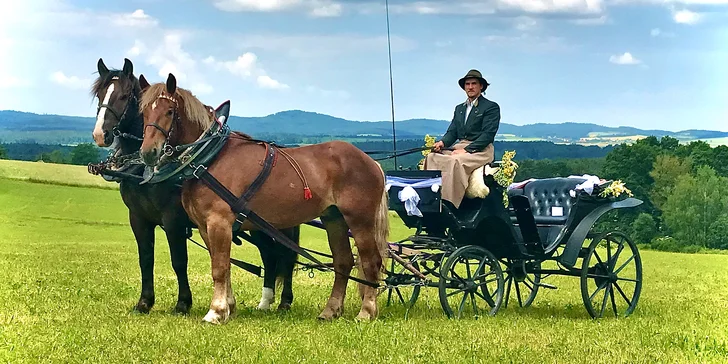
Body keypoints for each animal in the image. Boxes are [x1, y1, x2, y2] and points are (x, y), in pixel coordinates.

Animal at [91, 58, 302, 314]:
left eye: (123, 96)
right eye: (99, 94)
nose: (100, 134)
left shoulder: (173, 219)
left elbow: (179, 260)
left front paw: (183, 303)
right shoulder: (138, 218)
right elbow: (146, 259)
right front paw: (144, 302)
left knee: (287, 255)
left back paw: (284, 301)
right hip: (256, 224)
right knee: (269, 255)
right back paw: (265, 302)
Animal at [140, 72, 392, 322]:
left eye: (169, 111)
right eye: (143, 112)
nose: (148, 152)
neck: (209, 159)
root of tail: (371, 162)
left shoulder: (219, 222)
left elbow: (219, 268)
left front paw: (216, 311)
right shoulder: (205, 227)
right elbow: (224, 265)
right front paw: (229, 307)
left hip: (360, 219)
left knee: (371, 261)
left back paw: (366, 311)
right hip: (334, 218)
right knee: (343, 262)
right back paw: (330, 310)